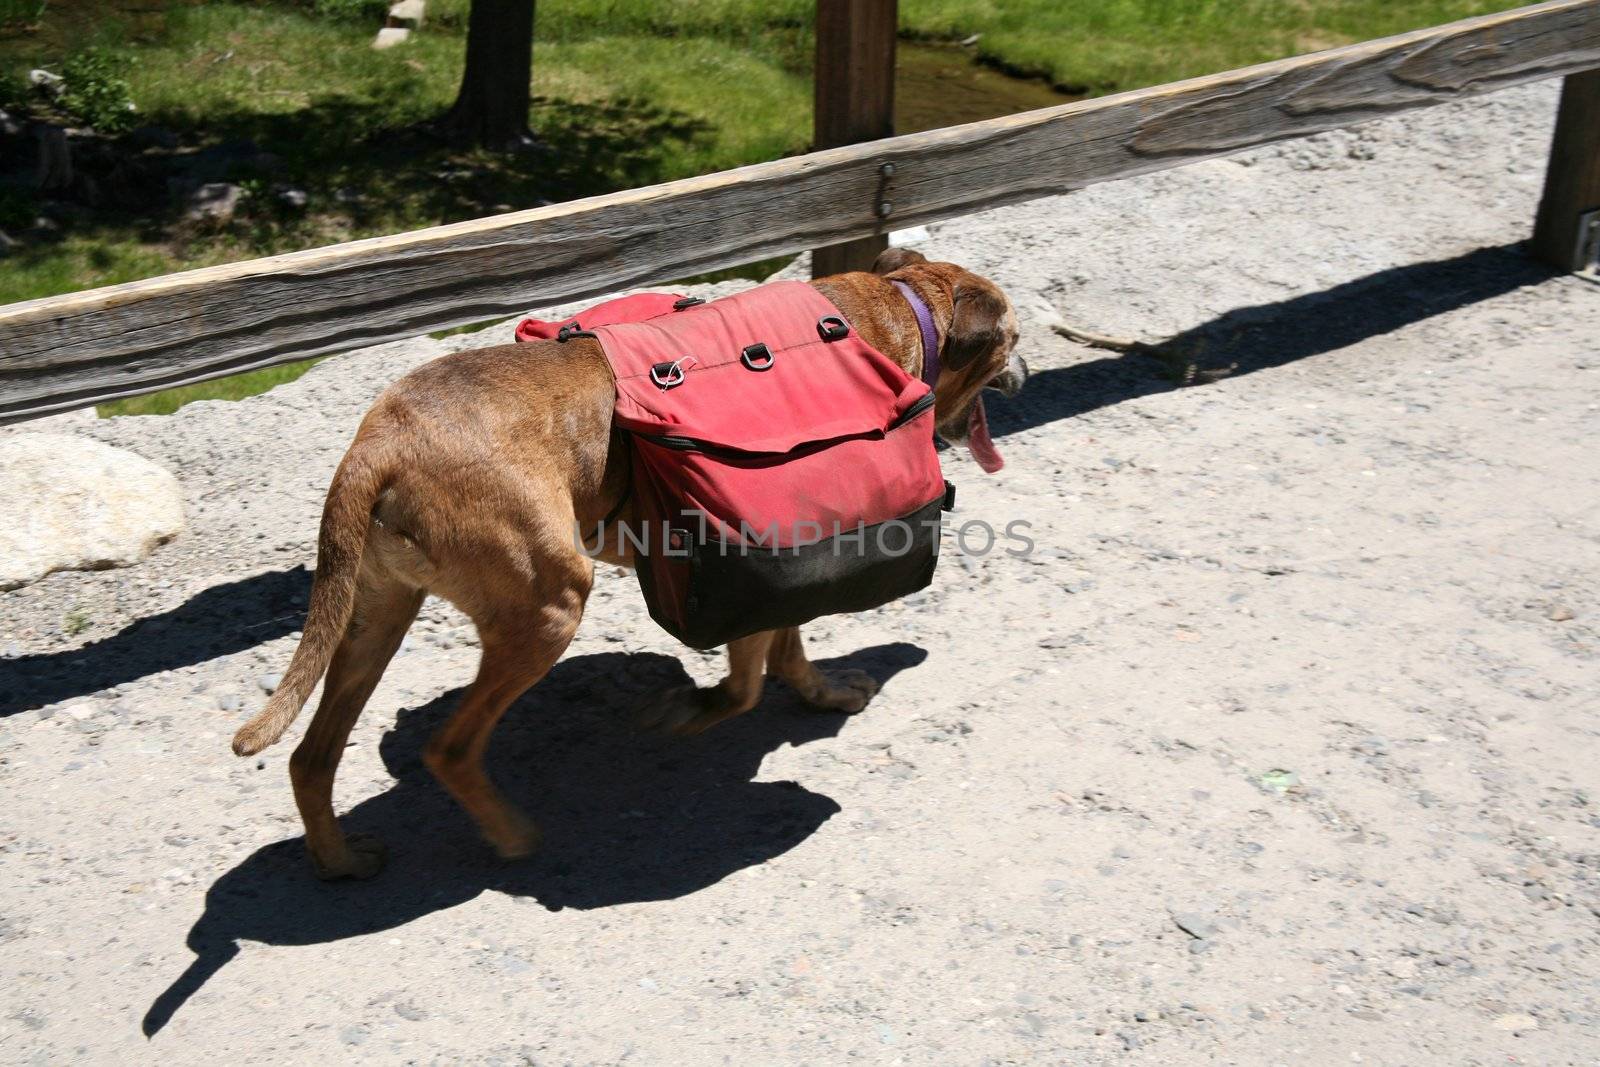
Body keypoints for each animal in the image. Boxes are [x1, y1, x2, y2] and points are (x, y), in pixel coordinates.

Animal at [225, 247, 1024, 876]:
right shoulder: (741, 579)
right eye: (1012, 336)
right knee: (449, 749)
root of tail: (377, 446)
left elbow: (790, 652)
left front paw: (820, 693)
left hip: (377, 614)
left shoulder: (784, 575)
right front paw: (689, 711)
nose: (1023, 371)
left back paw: (339, 860)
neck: (902, 310)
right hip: (547, 606)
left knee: (310, 758)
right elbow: (742, 690)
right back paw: (511, 836)